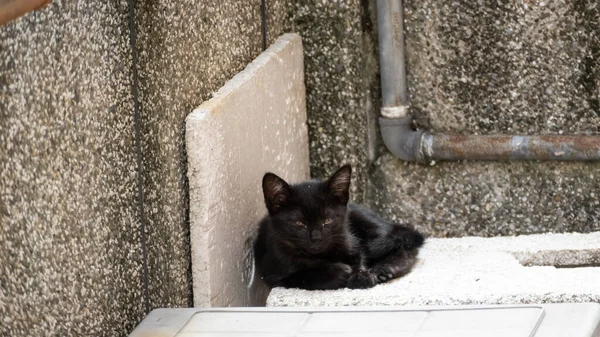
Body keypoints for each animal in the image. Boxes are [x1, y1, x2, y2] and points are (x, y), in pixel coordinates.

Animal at [253, 165, 426, 288]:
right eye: (299, 223)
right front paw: (341, 273)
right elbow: (306, 276)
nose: (316, 238)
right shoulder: (273, 272)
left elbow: (359, 258)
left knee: (406, 249)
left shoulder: (352, 242)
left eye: (327, 220)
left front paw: (361, 276)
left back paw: (385, 269)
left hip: (371, 229)